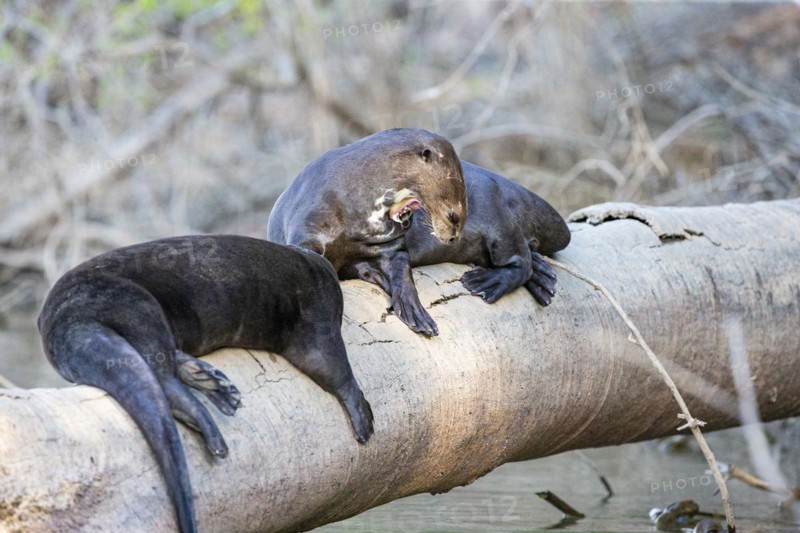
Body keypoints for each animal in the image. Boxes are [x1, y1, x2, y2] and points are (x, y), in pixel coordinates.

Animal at [38, 235, 374, 533]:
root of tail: (63, 316)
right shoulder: (317, 316)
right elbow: (332, 367)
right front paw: (363, 415)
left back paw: (212, 383)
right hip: (133, 304)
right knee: (159, 371)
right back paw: (209, 418)